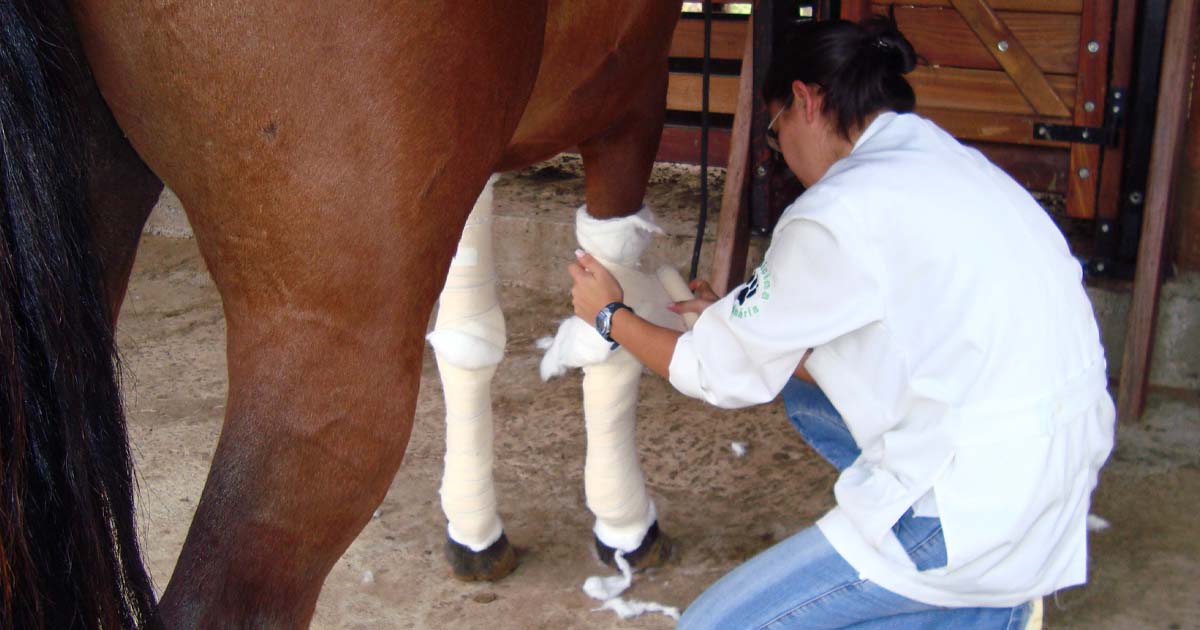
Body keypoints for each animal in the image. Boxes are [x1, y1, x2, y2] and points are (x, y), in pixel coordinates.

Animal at [0, 2, 676, 624]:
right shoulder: (632, 100)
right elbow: (608, 333)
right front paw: (625, 526)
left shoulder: (473, 161)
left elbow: (468, 338)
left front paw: (475, 531)